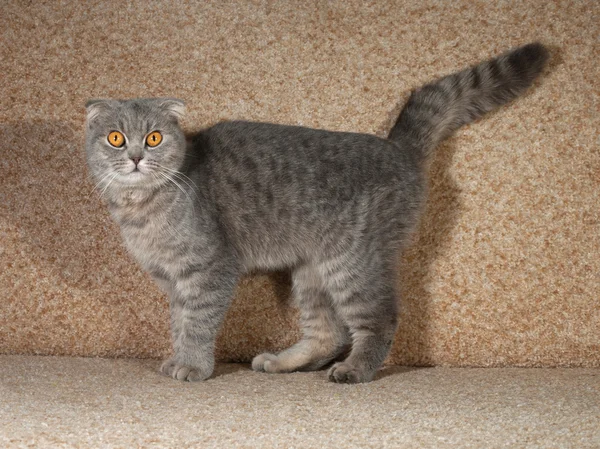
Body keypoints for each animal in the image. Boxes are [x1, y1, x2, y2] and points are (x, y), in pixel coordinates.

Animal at [84, 43, 548, 384]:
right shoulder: (172, 278)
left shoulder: (210, 269)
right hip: (311, 269)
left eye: (155, 137)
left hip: (353, 263)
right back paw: (284, 362)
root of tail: (396, 147)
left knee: (379, 321)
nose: (137, 157)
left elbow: (197, 322)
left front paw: (194, 366)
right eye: (115, 137)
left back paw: (354, 370)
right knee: (328, 333)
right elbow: (180, 321)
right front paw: (179, 357)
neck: (142, 210)